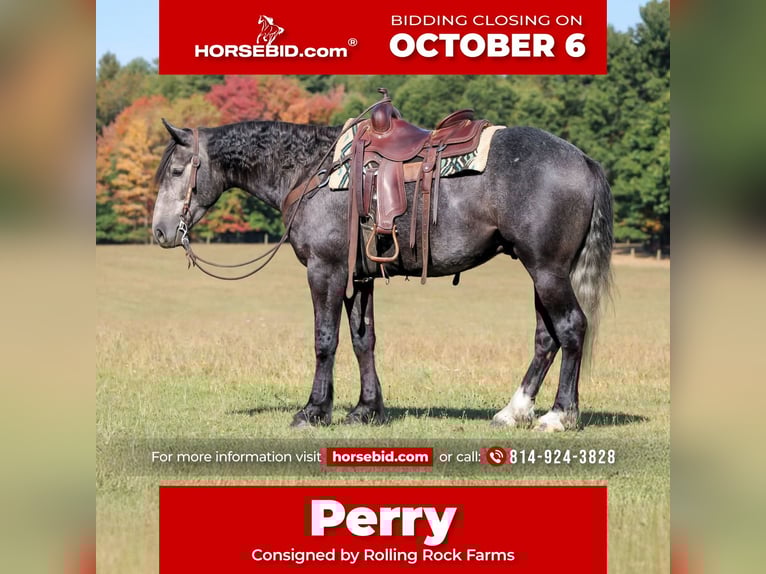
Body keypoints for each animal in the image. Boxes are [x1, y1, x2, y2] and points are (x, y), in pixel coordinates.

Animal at [151, 115, 613, 431]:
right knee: (545, 338)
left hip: (548, 270)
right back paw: (513, 411)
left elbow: (325, 340)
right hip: (542, 272)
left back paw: (559, 415)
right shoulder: (359, 278)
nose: (159, 231)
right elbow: (363, 341)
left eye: (176, 171)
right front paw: (365, 409)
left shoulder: (325, 271)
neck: (310, 171)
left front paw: (314, 411)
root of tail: (583, 158)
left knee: (571, 328)